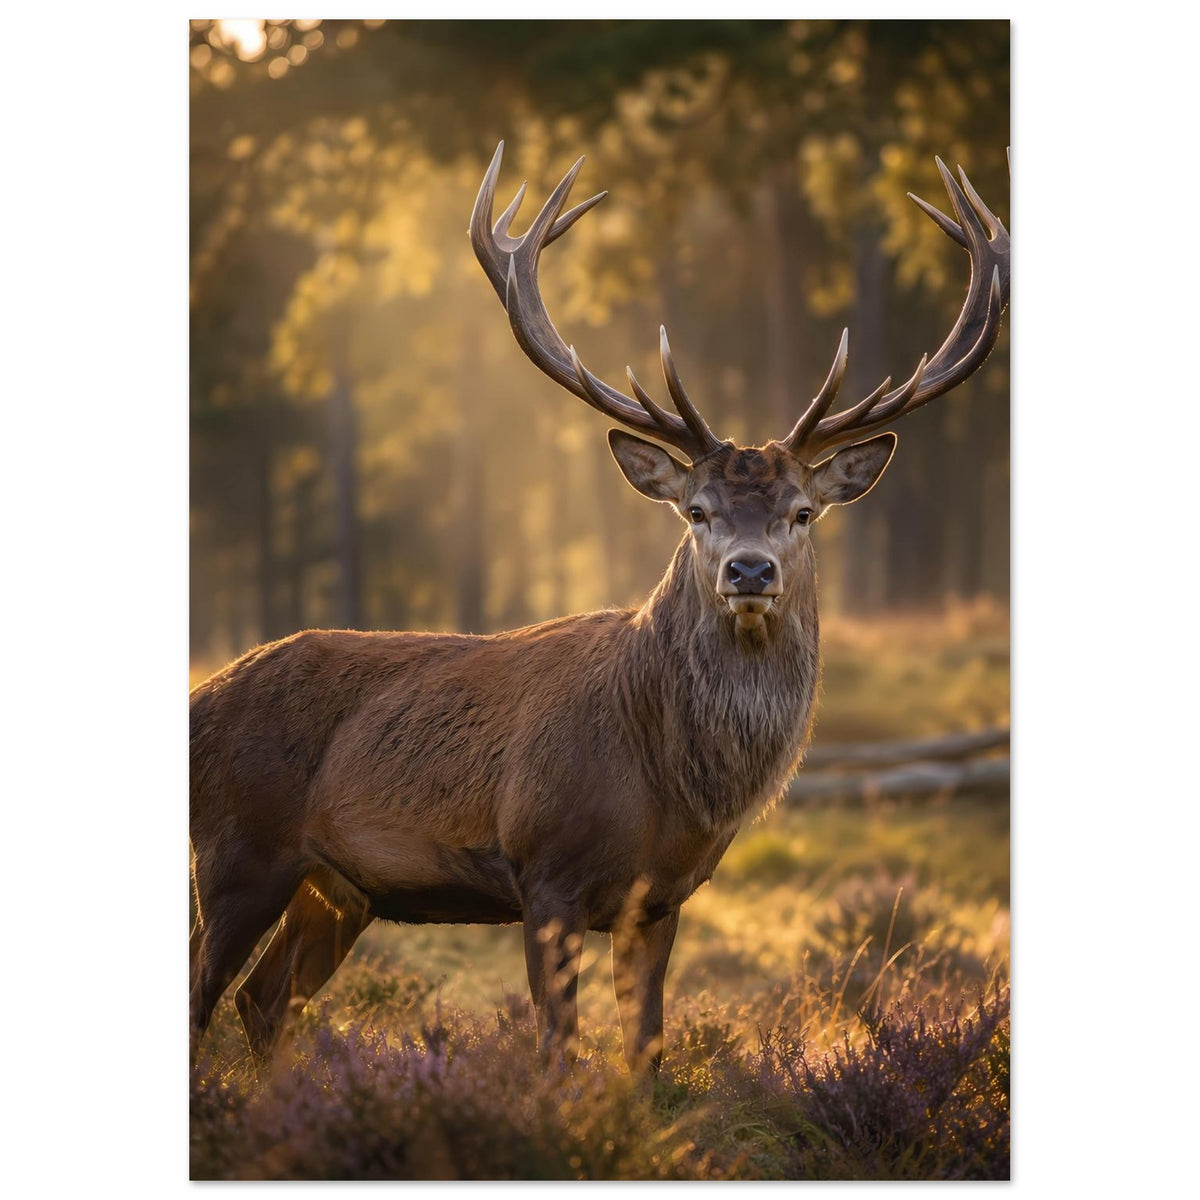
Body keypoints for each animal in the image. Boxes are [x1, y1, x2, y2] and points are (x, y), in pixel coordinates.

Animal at [189, 141, 1009, 1073]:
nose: (750, 571)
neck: (665, 779)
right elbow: (556, 1048)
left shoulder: (662, 898)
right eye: (696, 511)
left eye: (803, 512)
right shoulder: (545, 870)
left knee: (264, 1000)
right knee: (206, 998)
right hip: (236, 850)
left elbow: (644, 1051)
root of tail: (199, 698)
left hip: (340, 886)